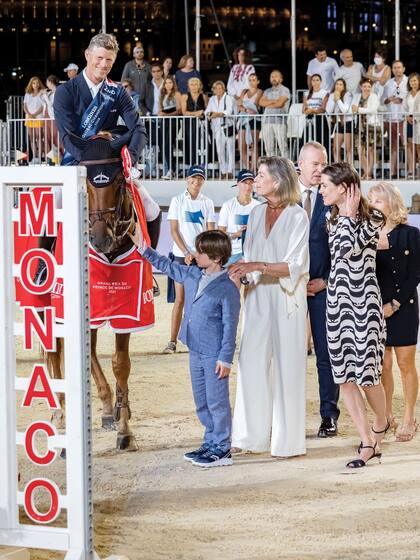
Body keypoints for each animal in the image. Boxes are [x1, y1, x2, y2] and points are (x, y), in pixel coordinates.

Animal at [48, 131, 159, 450]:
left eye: (119, 180)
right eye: (84, 180)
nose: (100, 239)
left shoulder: (130, 310)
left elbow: (120, 364)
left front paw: (124, 428)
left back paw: (110, 410)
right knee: (55, 351)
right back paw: (61, 412)